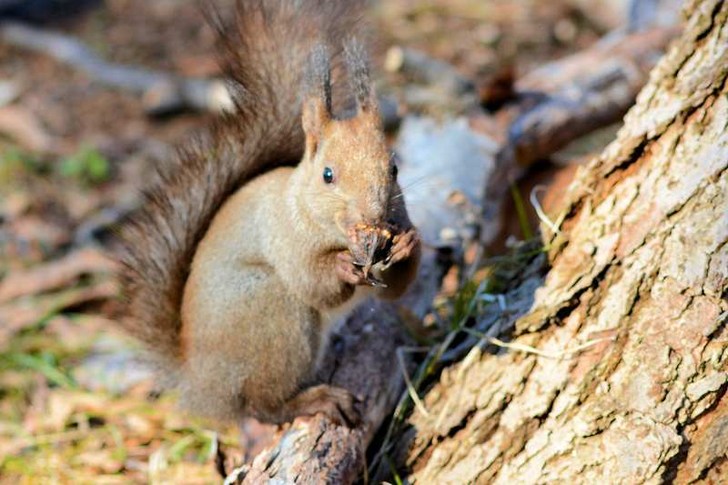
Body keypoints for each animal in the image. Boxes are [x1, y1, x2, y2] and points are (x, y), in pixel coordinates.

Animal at [119, 0, 420, 426]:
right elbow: (315, 284)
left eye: (393, 168)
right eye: (328, 175)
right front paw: (341, 266)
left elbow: (398, 289)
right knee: (261, 405)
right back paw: (311, 401)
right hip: (273, 315)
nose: (374, 214)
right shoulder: (282, 234)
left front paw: (407, 245)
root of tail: (200, 384)